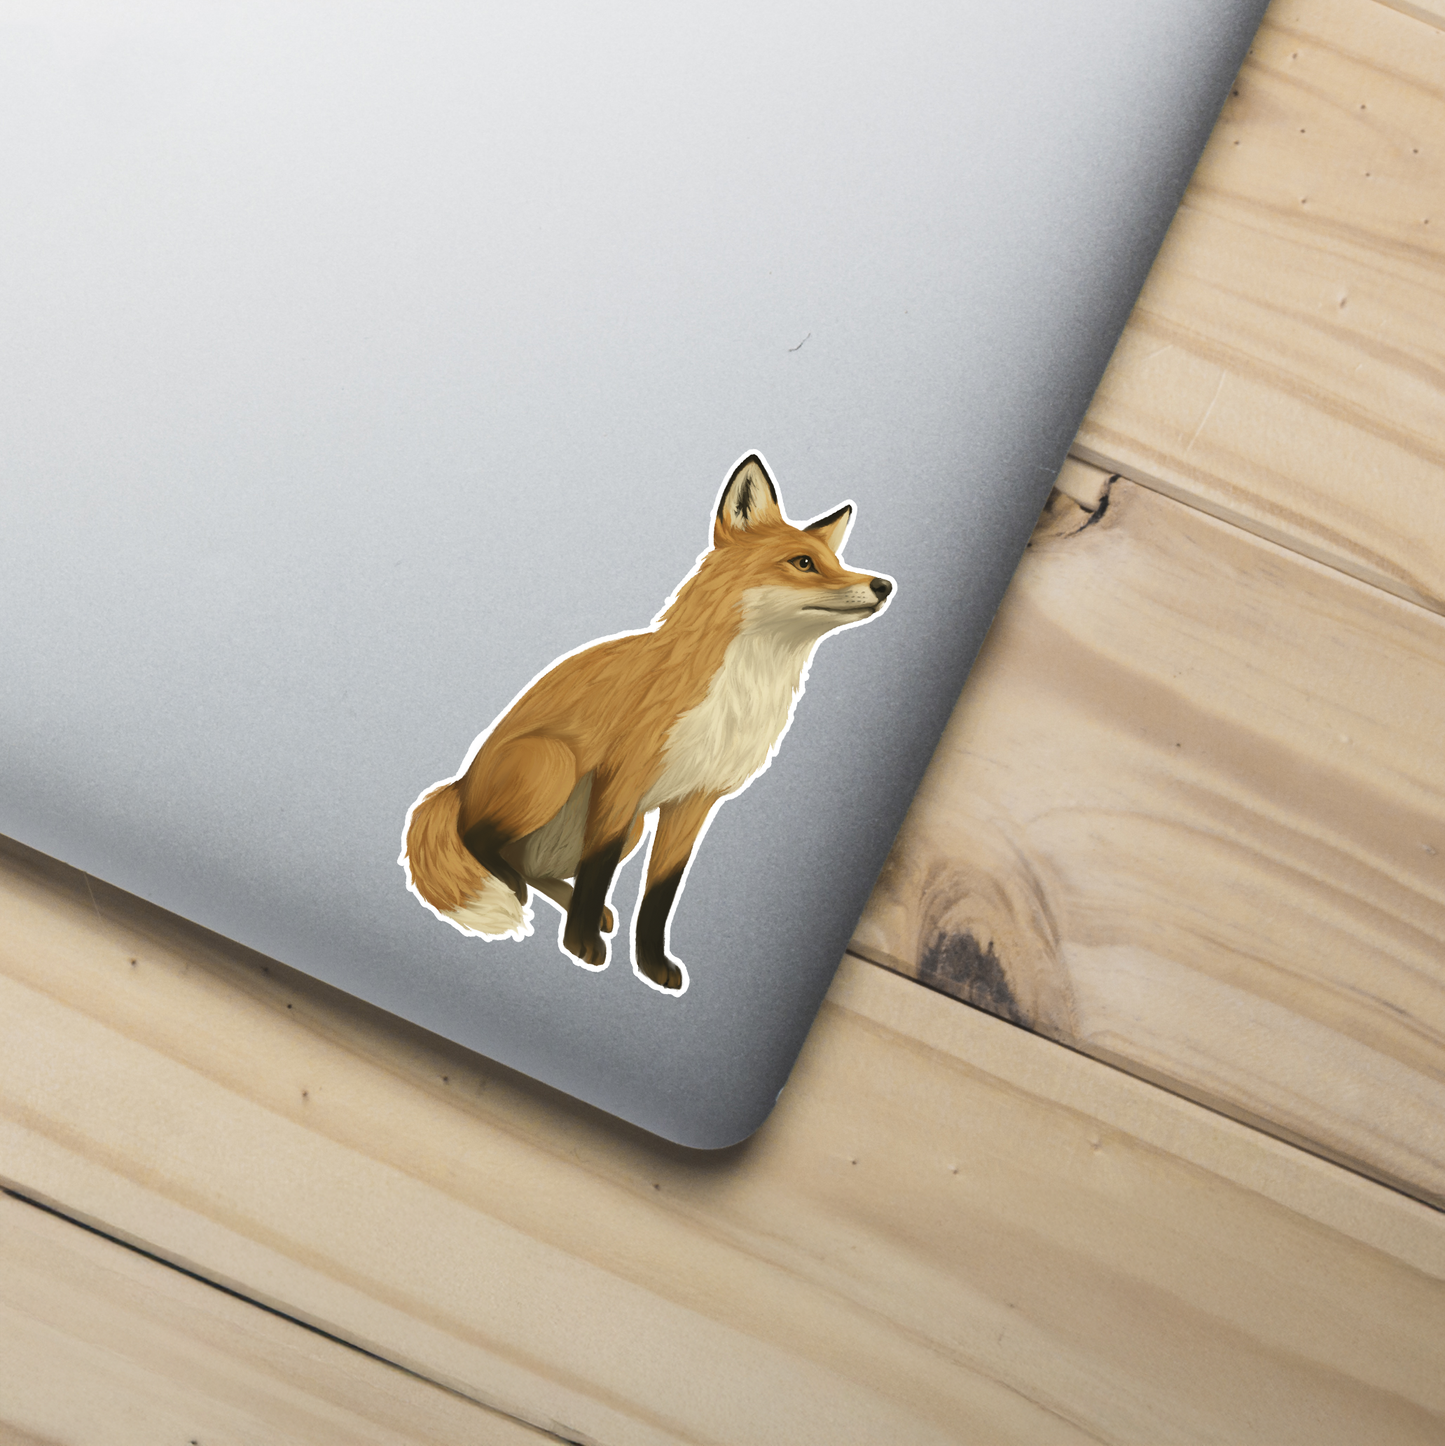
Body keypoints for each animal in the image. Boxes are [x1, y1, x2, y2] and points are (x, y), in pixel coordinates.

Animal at [400, 453, 893, 995]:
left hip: (628, 825)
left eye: (837, 562)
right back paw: (512, 886)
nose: (884, 585)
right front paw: (581, 946)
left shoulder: (694, 801)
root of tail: (459, 783)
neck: (739, 690)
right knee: (480, 839)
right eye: (803, 563)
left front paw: (652, 965)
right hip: (555, 764)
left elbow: (660, 895)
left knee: (527, 863)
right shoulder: (623, 779)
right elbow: (596, 871)